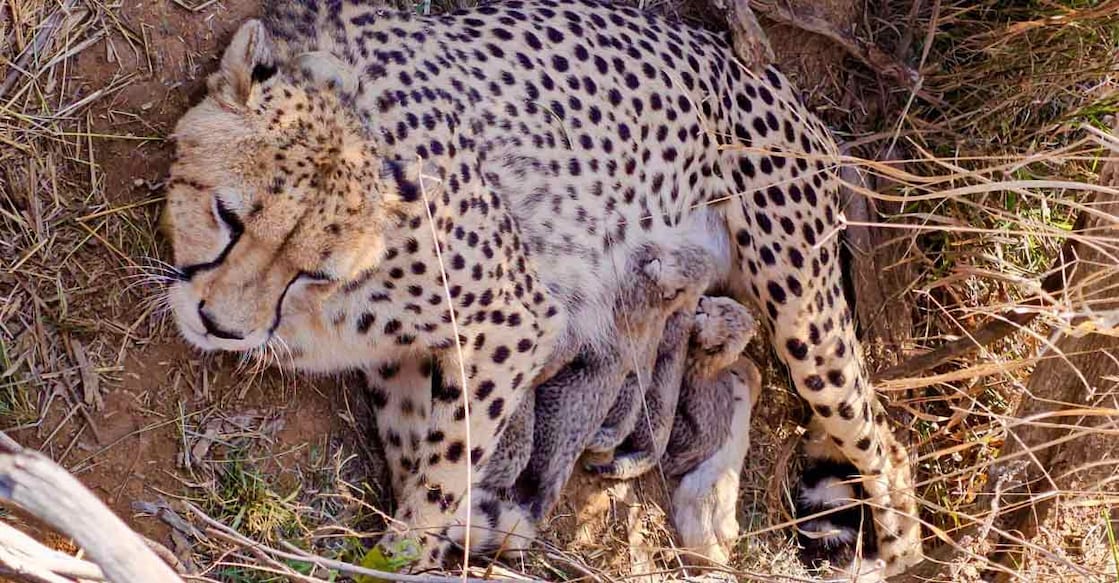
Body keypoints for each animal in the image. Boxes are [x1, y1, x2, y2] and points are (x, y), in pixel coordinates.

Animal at [162, 0, 923, 575]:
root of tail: (765, 74)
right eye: (227, 215)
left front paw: (407, 554)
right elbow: (416, 450)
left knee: (886, 445)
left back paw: (884, 554)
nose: (220, 325)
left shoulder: (515, 319)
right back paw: (707, 509)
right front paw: (473, 524)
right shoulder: (405, 356)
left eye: (312, 268)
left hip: (804, 309)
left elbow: (443, 469)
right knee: (744, 372)